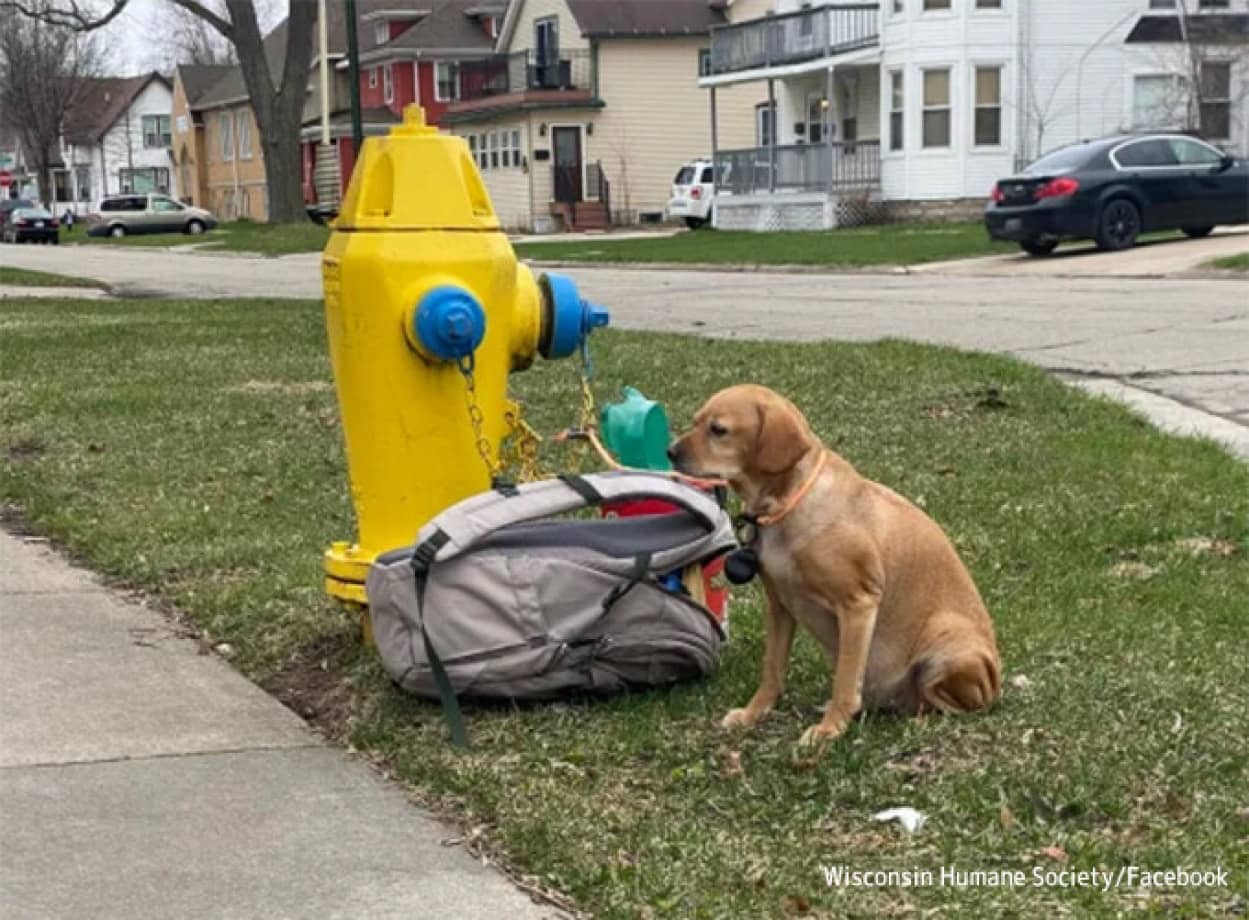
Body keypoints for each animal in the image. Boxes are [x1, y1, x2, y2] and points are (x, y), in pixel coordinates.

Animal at [669, 384, 999, 743]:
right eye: (696, 421)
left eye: (718, 430)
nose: (670, 451)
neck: (786, 503)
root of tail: (996, 681)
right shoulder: (779, 605)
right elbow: (772, 670)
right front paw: (753, 713)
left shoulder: (858, 603)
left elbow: (845, 681)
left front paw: (829, 729)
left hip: (948, 645)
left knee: (953, 705)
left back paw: (919, 720)